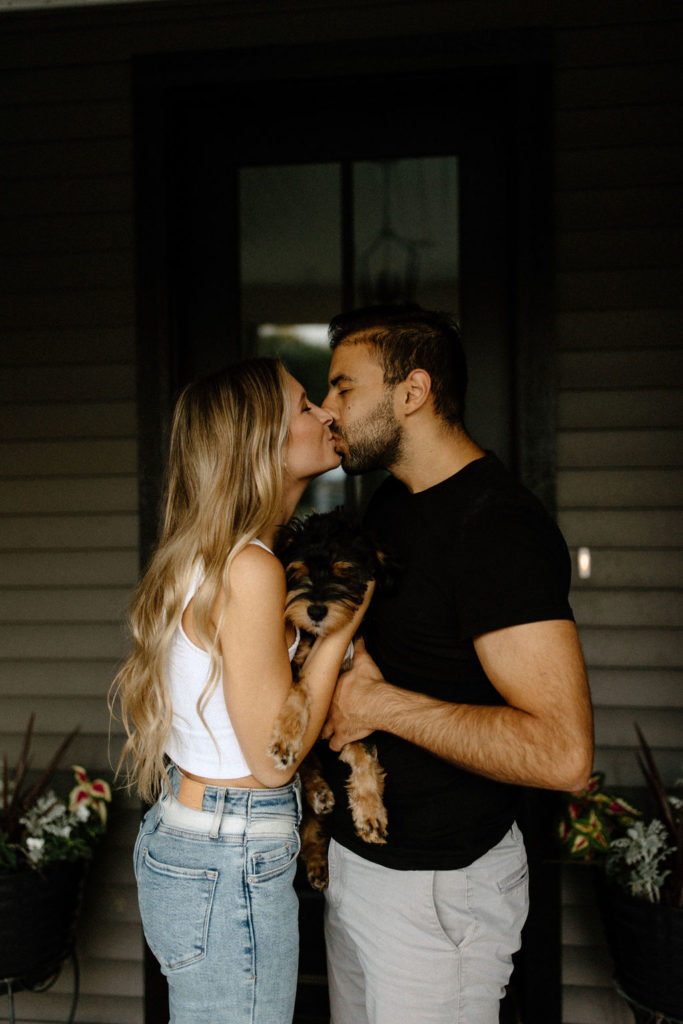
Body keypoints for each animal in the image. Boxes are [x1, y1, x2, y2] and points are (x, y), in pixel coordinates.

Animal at [270, 512, 393, 888]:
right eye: (297, 572)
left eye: (344, 572)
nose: (315, 610)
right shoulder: (296, 667)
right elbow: (299, 688)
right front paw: (286, 735)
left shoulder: (353, 714)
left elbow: (365, 756)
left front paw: (370, 813)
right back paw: (317, 793)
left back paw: (317, 862)